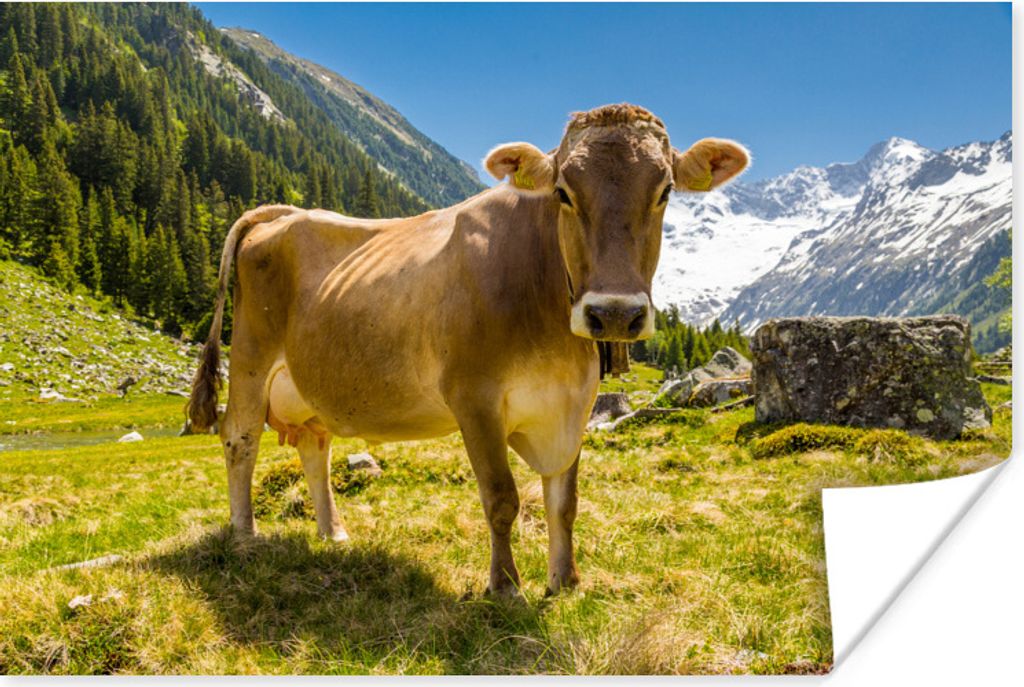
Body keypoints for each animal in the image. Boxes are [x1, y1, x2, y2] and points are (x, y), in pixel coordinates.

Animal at [187, 103, 749, 596]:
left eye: (665, 190)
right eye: (563, 193)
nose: (613, 313)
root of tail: (282, 214)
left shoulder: (575, 405)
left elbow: (564, 501)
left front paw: (566, 581)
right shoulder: (473, 397)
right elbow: (502, 498)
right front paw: (505, 586)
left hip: (308, 381)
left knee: (314, 446)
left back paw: (334, 532)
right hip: (252, 357)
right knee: (239, 438)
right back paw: (245, 535)